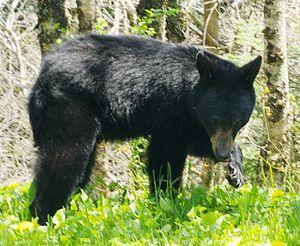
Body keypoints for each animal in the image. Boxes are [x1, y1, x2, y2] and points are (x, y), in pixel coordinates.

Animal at [29, 34, 262, 225]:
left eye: (238, 122)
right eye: (214, 119)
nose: (221, 154)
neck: (189, 91)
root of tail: (44, 73)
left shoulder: (189, 119)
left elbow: (195, 142)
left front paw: (235, 170)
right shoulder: (171, 110)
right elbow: (165, 156)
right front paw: (166, 200)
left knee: (81, 169)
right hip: (71, 107)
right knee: (64, 159)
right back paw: (44, 217)